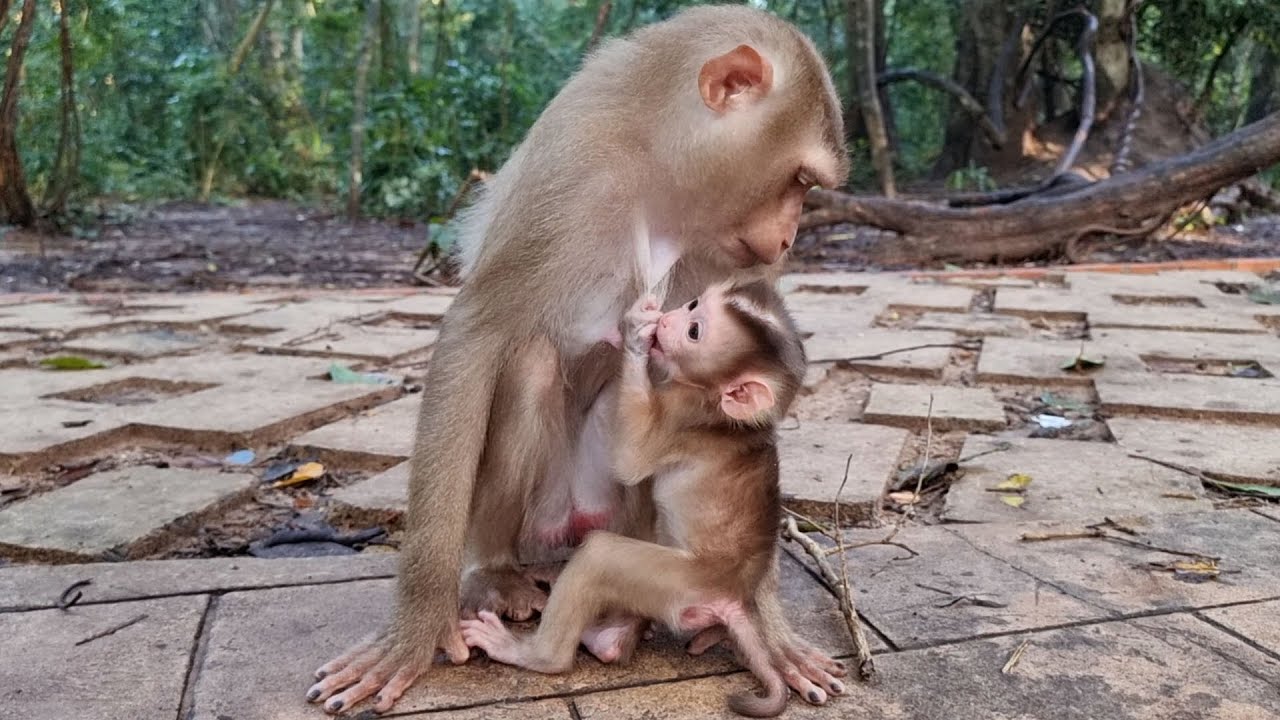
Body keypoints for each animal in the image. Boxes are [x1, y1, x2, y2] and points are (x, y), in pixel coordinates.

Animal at [460, 281, 845, 718]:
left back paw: (542, 653)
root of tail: (731, 596)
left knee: (601, 556)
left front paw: (634, 336)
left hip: (678, 584)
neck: (725, 413)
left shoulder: (681, 414)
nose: (667, 319)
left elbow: (630, 460)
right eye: (693, 304)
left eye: (694, 331)